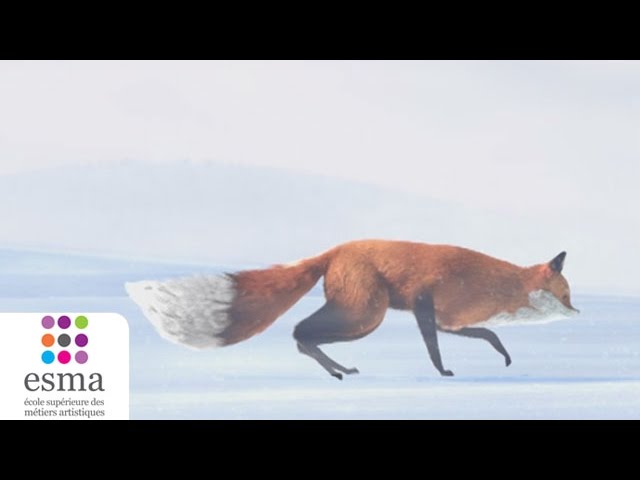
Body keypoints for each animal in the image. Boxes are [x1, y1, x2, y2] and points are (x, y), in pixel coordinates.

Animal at [125, 239, 579, 380]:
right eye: (566, 296)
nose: (578, 313)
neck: (501, 284)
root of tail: (335, 249)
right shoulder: (426, 303)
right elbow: (437, 346)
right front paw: (443, 373)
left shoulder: (450, 320)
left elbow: (488, 333)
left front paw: (502, 355)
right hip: (366, 315)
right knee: (299, 332)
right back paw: (335, 370)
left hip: (361, 316)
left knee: (302, 337)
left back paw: (337, 368)